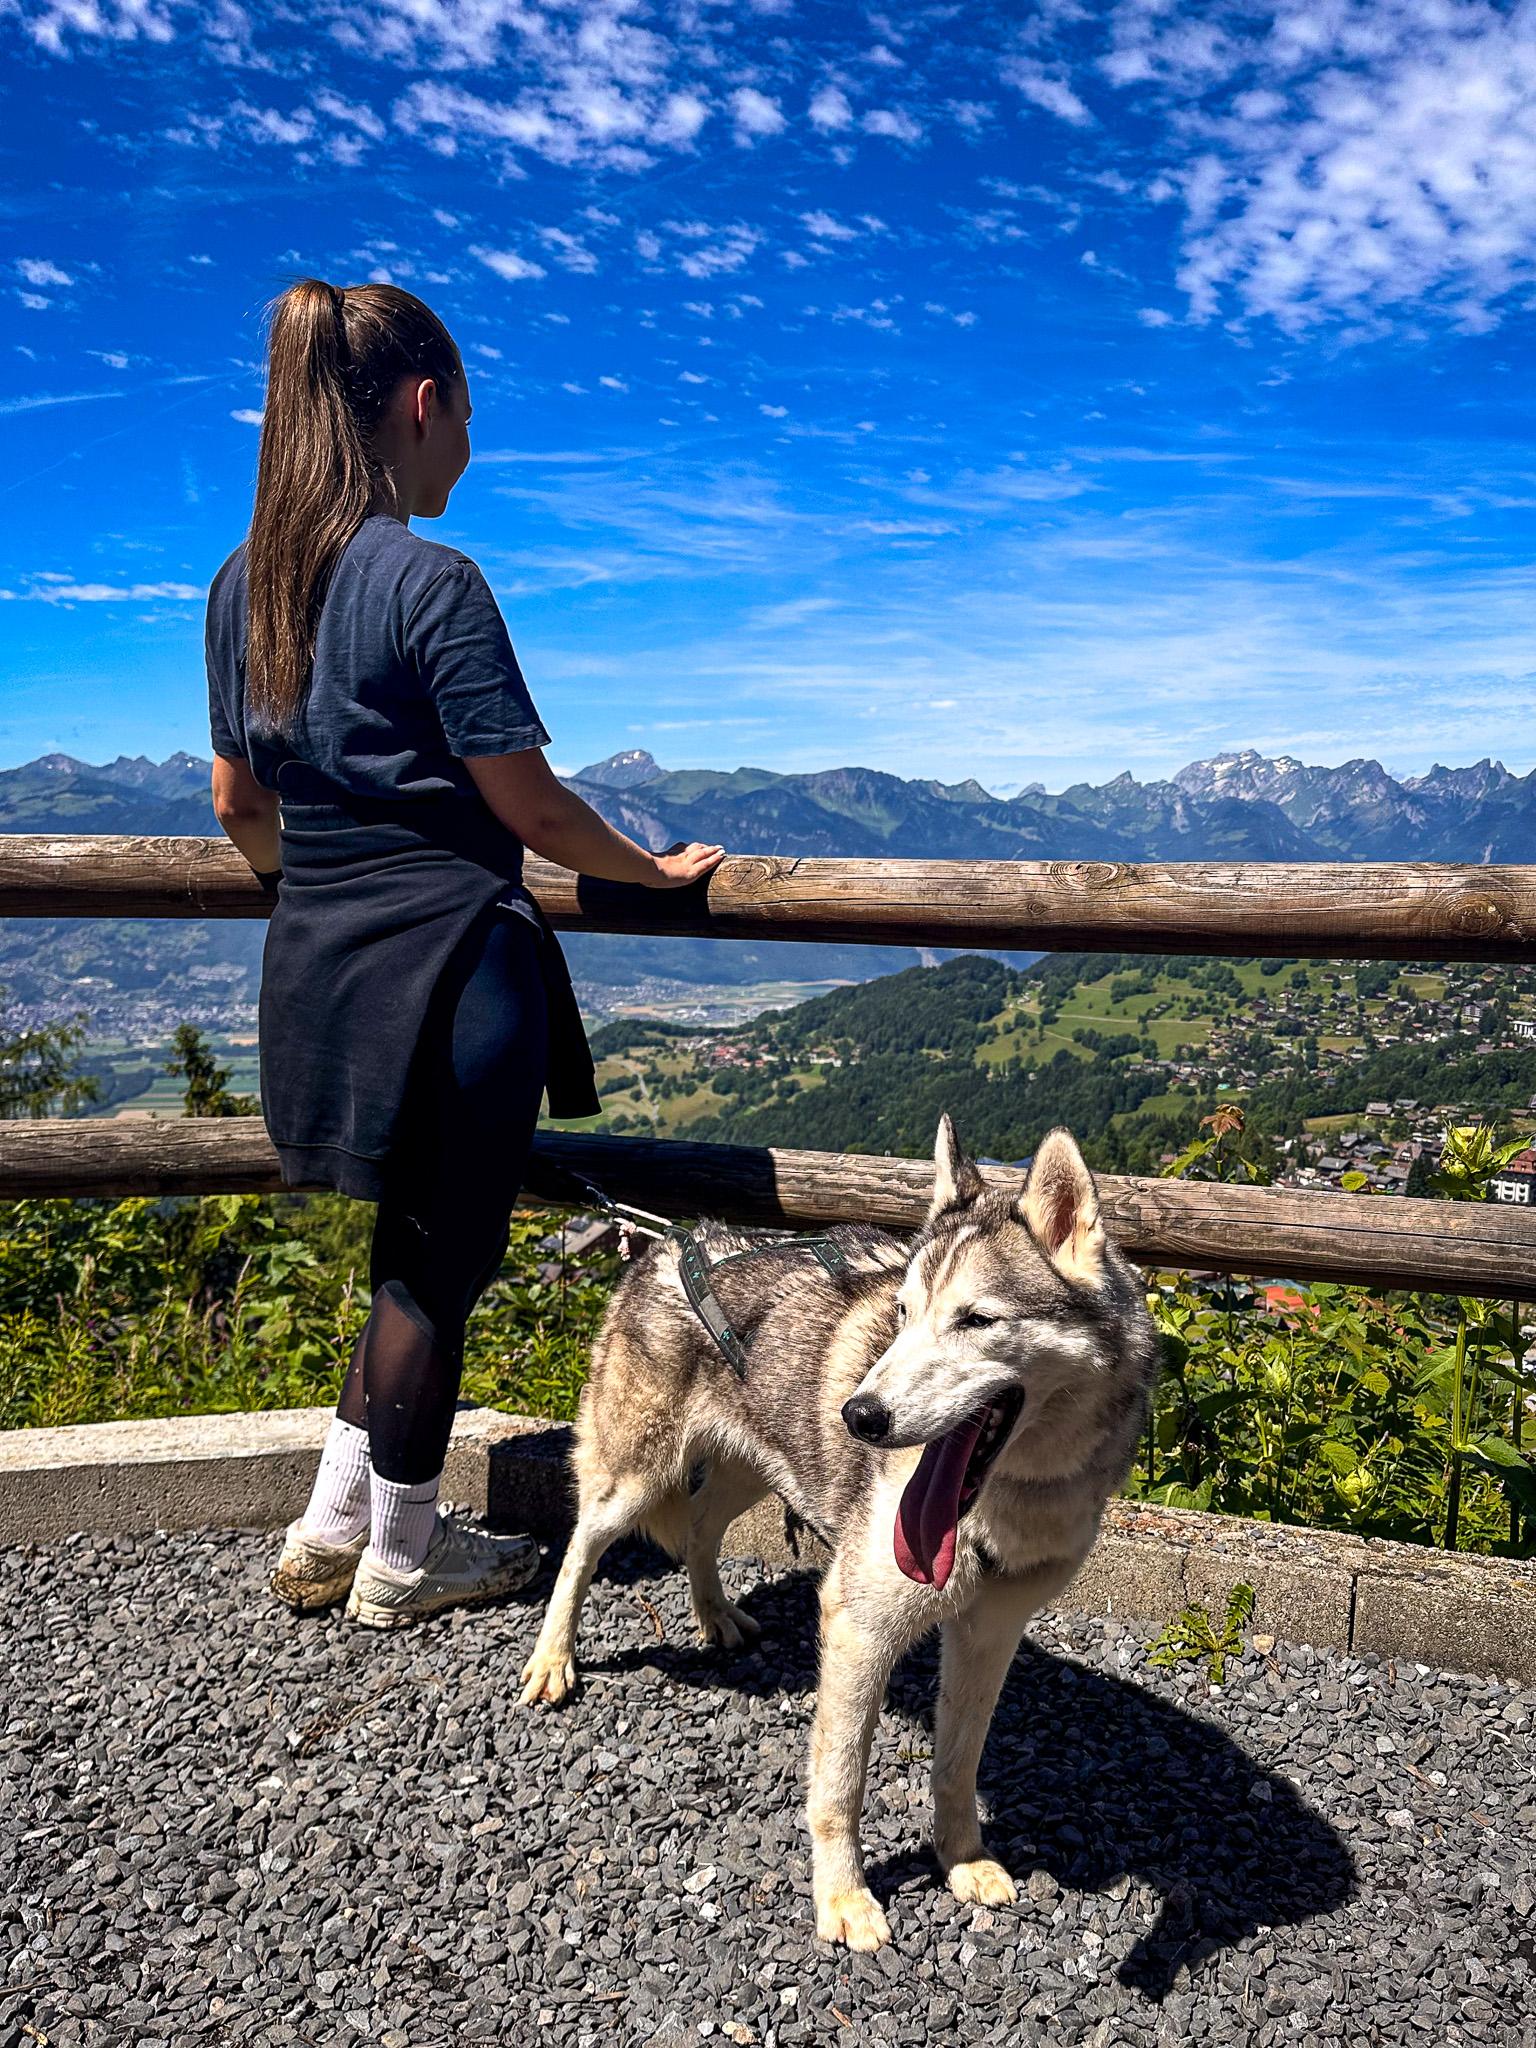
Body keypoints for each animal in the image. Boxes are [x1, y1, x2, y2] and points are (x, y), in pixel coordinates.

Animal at [524, 1122, 1163, 1949]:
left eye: (977, 1321)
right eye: (903, 1312)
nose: (859, 1416)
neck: (1007, 1500)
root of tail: (666, 1243)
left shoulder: (990, 1630)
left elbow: (957, 1765)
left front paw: (963, 1861)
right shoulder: (859, 1627)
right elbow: (840, 1783)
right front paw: (843, 1899)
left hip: (754, 1470)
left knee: (700, 1527)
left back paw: (717, 1616)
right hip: (634, 1476)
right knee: (581, 1546)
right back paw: (552, 1661)